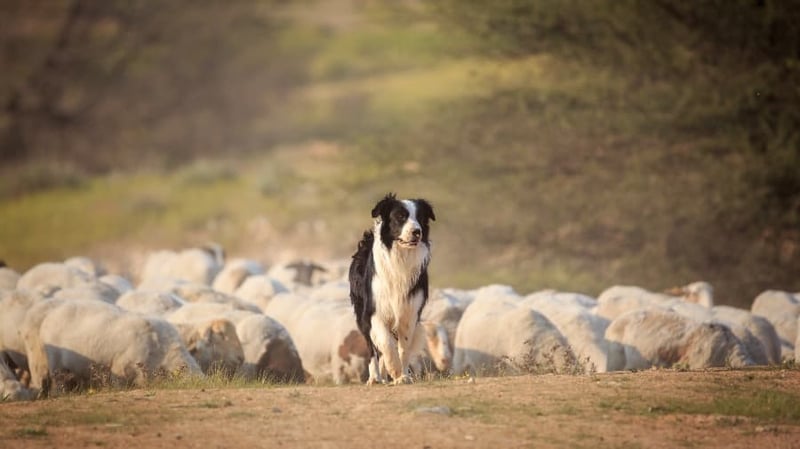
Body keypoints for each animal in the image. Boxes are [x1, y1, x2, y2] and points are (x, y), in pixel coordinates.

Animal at [350, 191, 438, 384]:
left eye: (420, 217)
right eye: (400, 217)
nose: (417, 232)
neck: (400, 256)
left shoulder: (409, 312)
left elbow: (403, 348)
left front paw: (403, 376)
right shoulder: (375, 310)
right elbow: (386, 343)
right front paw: (395, 370)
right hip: (362, 314)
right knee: (373, 349)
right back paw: (375, 378)